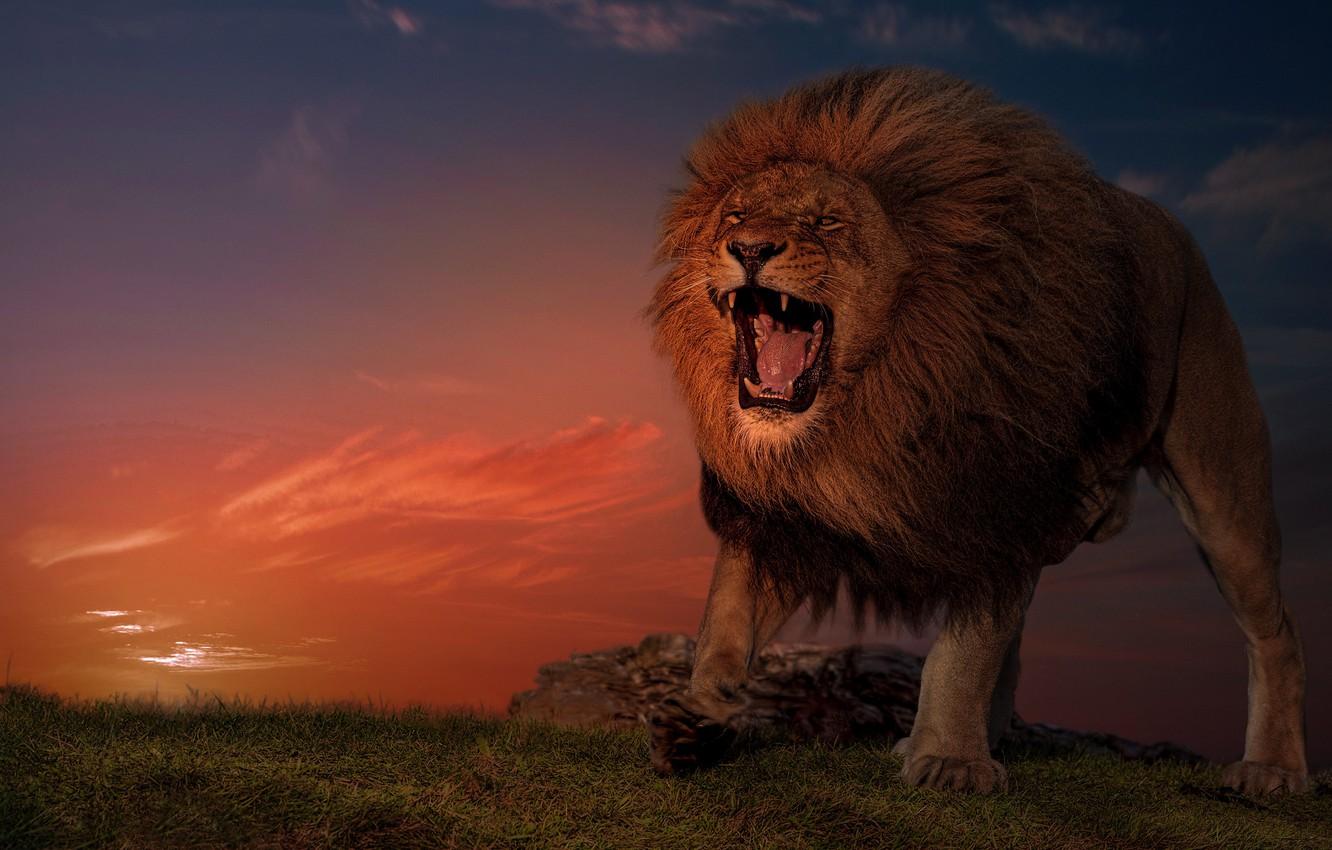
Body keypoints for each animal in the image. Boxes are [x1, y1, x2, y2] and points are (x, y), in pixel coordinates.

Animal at [645, 67, 1308, 795]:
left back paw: (1273, 770)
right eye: (735, 217)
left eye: (827, 222)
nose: (750, 249)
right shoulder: (779, 509)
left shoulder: (992, 491)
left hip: (1222, 491)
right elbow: (726, 626)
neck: (871, 401)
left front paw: (950, 760)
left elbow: (967, 648)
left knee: (1276, 633)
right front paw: (698, 718)